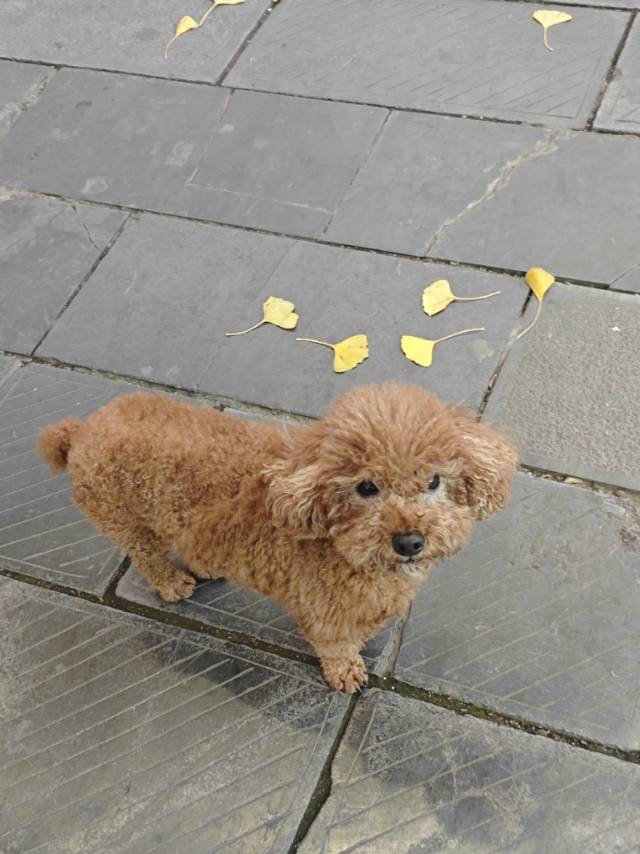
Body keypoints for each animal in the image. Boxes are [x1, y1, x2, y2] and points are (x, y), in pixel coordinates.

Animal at [38, 382, 516, 693]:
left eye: (434, 480)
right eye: (366, 488)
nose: (411, 541)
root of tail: (78, 432)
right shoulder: (324, 615)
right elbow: (337, 647)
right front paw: (347, 672)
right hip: (122, 518)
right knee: (146, 553)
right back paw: (173, 583)